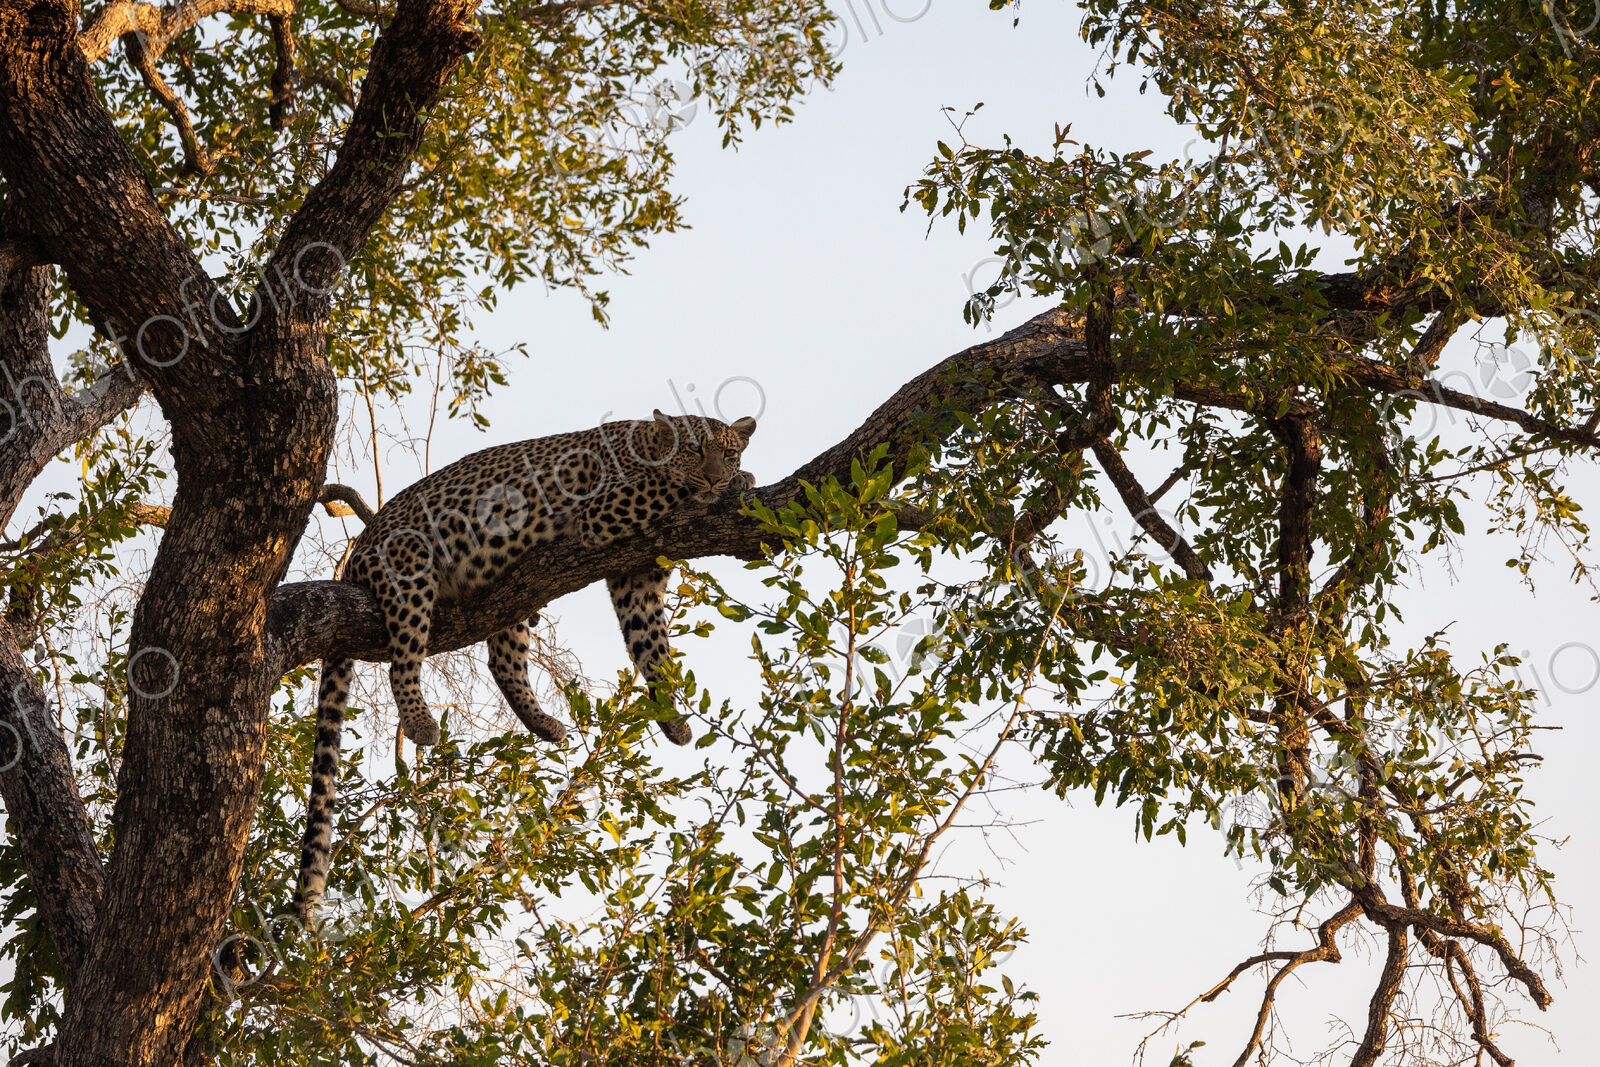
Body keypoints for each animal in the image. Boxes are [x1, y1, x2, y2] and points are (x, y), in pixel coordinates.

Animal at [294, 409, 757, 919]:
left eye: (727, 451)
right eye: (694, 450)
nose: (715, 475)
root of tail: (354, 556)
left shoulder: (638, 575)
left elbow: (652, 647)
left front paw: (672, 719)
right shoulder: (606, 510)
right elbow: (665, 485)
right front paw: (735, 483)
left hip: (512, 594)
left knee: (501, 659)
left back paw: (543, 724)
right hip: (410, 570)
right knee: (404, 660)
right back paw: (421, 723)